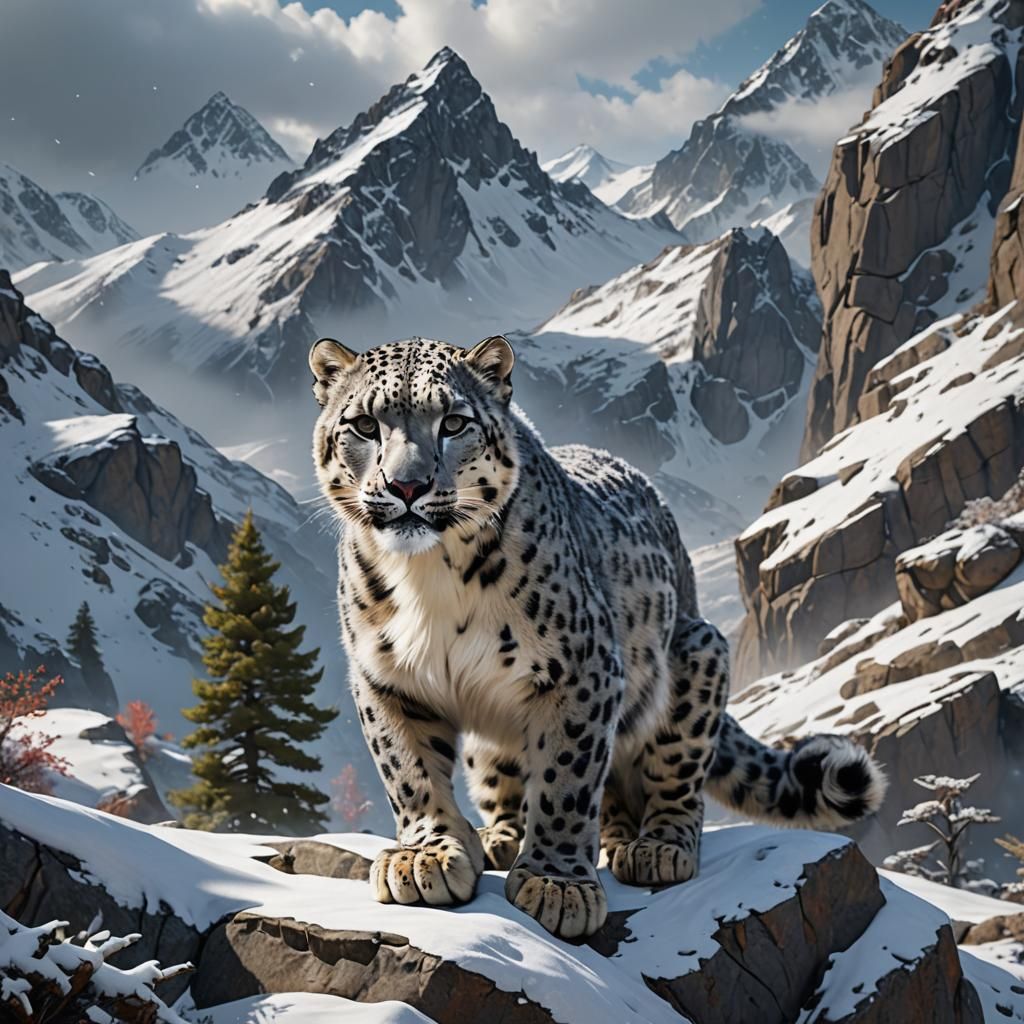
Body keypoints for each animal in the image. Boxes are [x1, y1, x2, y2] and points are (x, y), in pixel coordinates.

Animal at [309, 333, 887, 940]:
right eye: (365, 425)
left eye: (454, 422)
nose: (407, 485)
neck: (429, 578)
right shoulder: (386, 678)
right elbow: (410, 771)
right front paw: (428, 856)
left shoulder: (580, 668)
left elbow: (566, 777)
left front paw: (557, 883)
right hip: (494, 738)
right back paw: (501, 838)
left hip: (695, 658)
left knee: (673, 777)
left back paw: (655, 848)